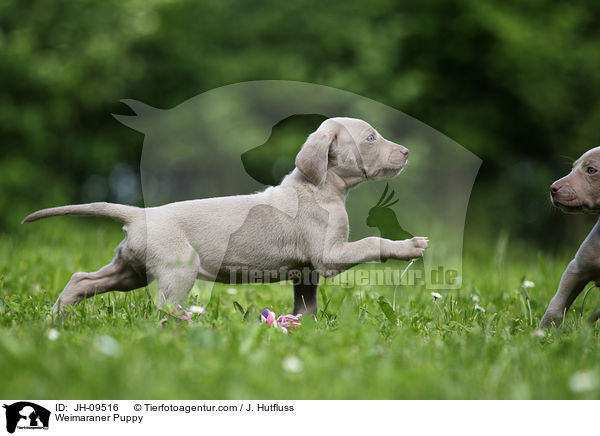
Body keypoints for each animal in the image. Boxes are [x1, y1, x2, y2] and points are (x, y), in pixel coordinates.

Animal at [22, 116, 426, 316]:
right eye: (370, 138)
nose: (407, 152)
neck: (322, 187)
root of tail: (139, 214)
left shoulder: (307, 272)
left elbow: (305, 308)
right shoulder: (329, 256)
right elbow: (373, 241)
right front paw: (410, 246)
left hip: (131, 268)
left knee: (82, 280)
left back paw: (53, 320)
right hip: (177, 268)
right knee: (165, 308)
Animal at [540, 146, 600, 328]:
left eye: (591, 170)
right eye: (573, 168)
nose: (552, 188)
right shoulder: (576, 269)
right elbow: (556, 305)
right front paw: (544, 331)